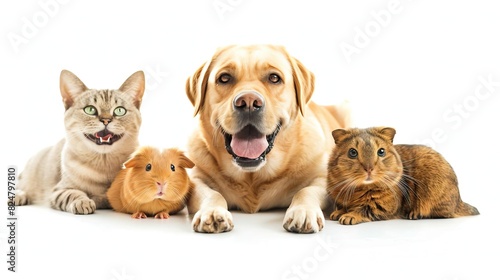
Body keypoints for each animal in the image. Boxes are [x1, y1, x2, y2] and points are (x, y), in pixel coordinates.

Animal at [13, 70, 146, 214]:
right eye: (90, 110)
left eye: (120, 110)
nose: (106, 120)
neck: (103, 164)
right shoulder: (59, 190)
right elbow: (73, 194)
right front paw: (83, 201)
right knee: (20, 187)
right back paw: (18, 196)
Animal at [186, 44, 350, 233]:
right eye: (225, 78)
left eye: (274, 78)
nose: (249, 102)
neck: (253, 179)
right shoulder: (196, 179)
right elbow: (213, 194)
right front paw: (212, 211)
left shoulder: (323, 177)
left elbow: (306, 191)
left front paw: (303, 211)